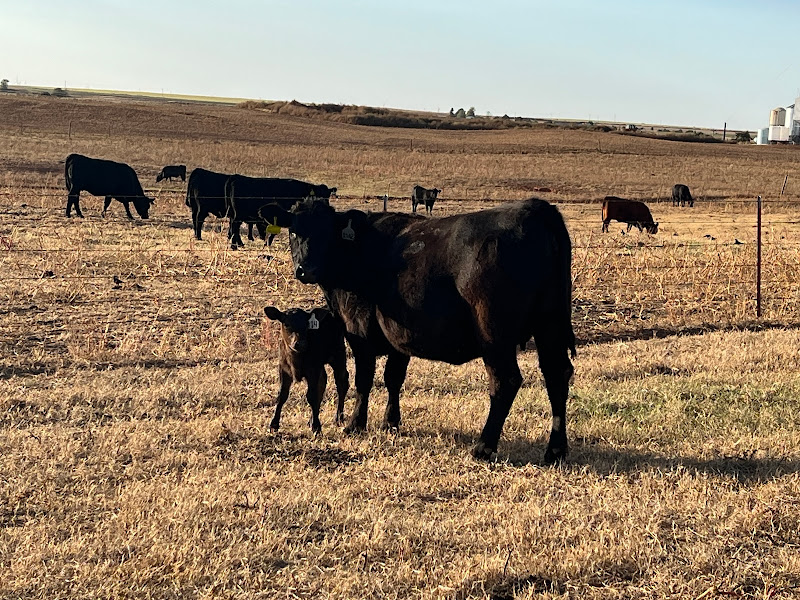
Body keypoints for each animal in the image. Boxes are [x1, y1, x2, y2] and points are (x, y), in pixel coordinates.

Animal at [269, 197, 575, 464]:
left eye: (326, 233)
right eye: (293, 231)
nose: (305, 269)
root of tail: (535, 208)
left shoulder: (359, 332)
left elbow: (364, 380)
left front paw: (355, 424)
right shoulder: (399, 337)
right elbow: (393, 378)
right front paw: (391, 422)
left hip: (495, 336)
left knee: (505, 382)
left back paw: (484, 446)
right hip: (550, 326)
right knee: (557, 375)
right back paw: (555, 450)